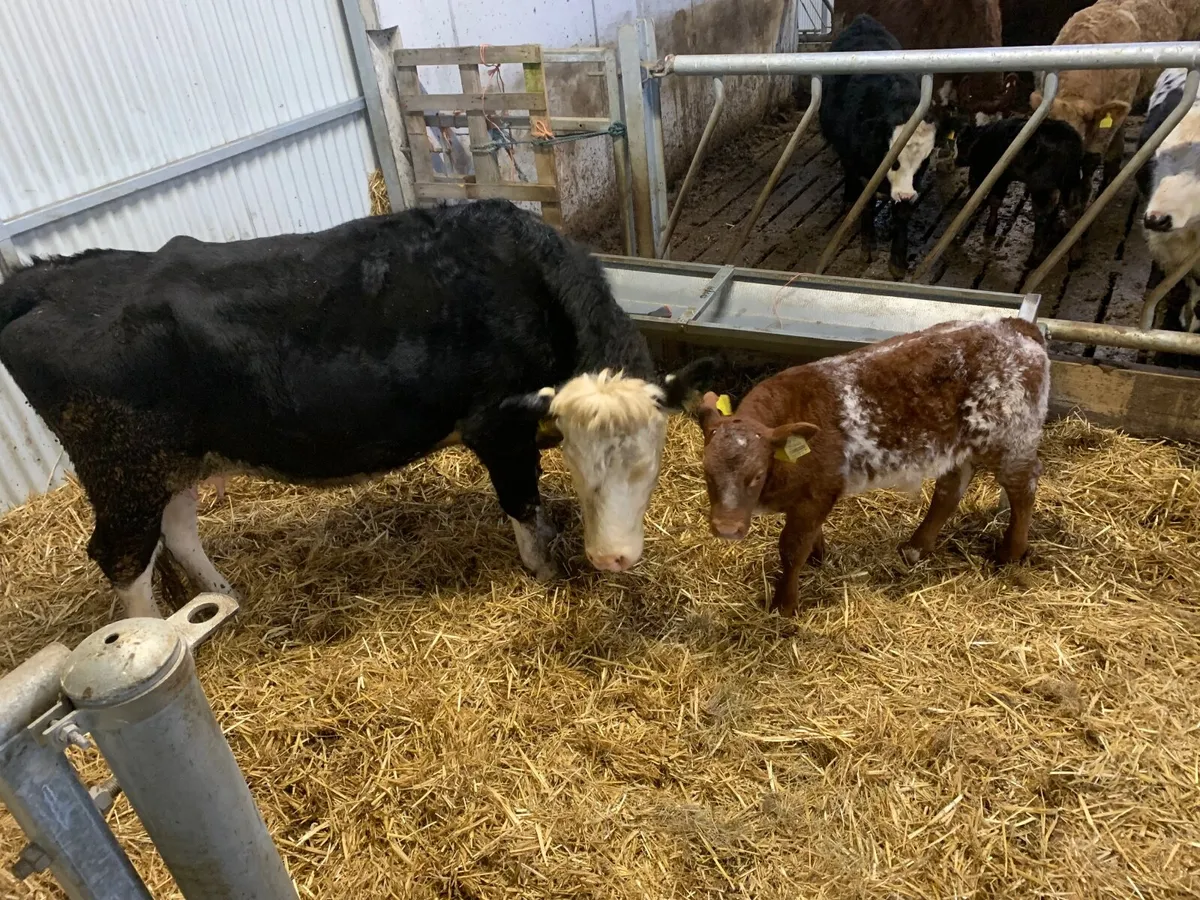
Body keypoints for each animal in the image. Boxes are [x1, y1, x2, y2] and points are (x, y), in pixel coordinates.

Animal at [0, 200, 714, 619]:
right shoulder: (495, 424)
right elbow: (522, 502)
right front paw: (541, 570)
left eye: (649, 465)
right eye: (580, 461)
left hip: (173, 462)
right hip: (123, 469)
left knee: (174, 533)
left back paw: (224, 600)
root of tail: (54, 277)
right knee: (121, 558)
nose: (614, 560)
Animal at [695, 318, 1049, 616]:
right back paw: (915, 548)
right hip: (957, 445)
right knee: (951, 489)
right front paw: (818, 558)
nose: (726, 529)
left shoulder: (819, 492)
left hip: (1012, 438)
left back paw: (1010, 553)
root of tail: (1015, 326)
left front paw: (785, 605)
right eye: (707, 473)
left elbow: (792, 548)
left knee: (1023, 485)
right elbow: (809, 538)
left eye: (756, 475)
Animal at [821, 14, 939, 280]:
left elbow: (902, 214)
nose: (905, 194)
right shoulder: (862, 169)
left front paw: (898, 262)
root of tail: (863, 20)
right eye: (893, 159)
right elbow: (865, 202)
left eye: (924, 161)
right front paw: (868, 248)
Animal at [954, 116, 1085, 266]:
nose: (956, 161)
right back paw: (1076, 253)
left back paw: (1033, 257)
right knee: (1075, 211)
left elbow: (995, 200)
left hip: (1041, 187)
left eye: (960, 144)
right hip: (1071, 184)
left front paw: (990, 229)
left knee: (1043, 216)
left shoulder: (999, 178)